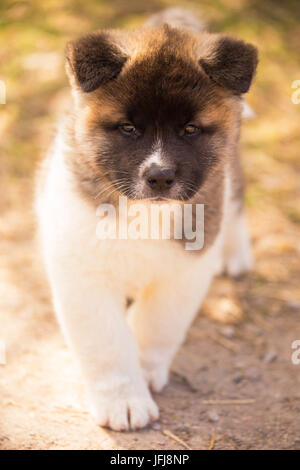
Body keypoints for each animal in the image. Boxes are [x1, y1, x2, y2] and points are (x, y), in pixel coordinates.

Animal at [34, 9, 255, 432]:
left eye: (190, 129)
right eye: (128, 128)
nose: (160, 177)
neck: (144, 212)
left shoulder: (184, 272)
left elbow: (158, 325)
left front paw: (145, 368)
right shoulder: (84, 276)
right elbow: (107, 345)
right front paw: (123, 400)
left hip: (230, 172)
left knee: (236, 199)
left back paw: (236, 254)